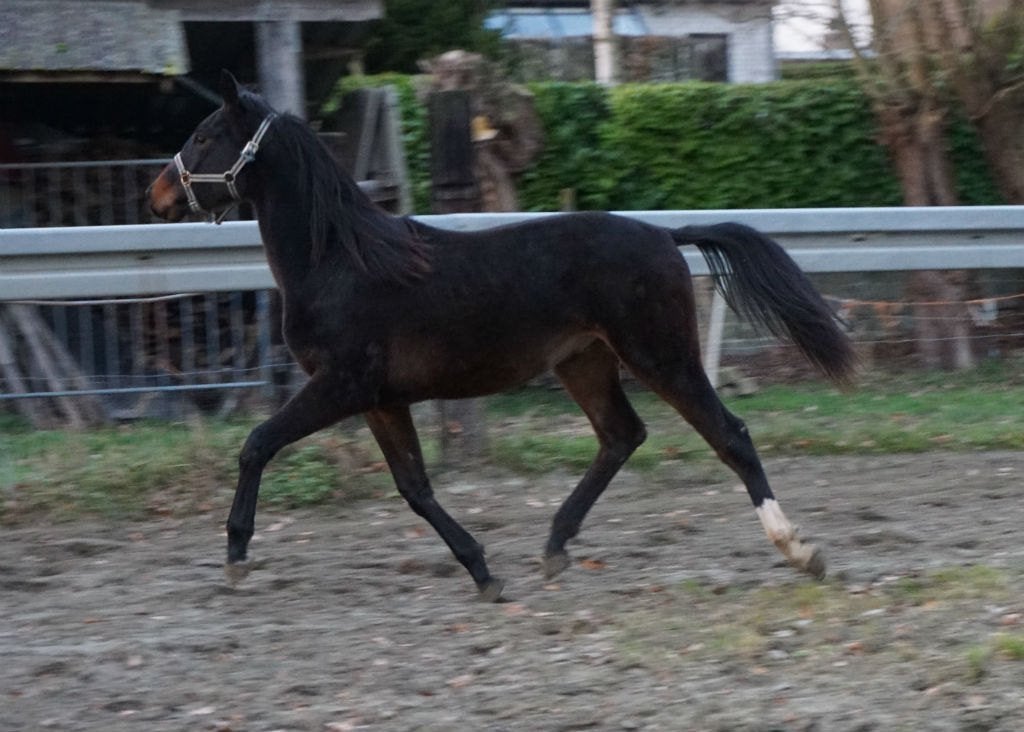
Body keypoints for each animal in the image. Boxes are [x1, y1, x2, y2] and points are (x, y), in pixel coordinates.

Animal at [148, 71, 856, 601]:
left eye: (206, 135)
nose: (156, 195)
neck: (342, 262)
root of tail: (664, 234)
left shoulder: (342, 383)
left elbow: (257, 444)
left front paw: (236, 555)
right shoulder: (381, 399)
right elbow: (414, 488)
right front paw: (483, 570)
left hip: (661, 354)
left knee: (728, 434)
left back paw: (800, 550)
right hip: (585, 362)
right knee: (621, 435)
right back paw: (554, 546)